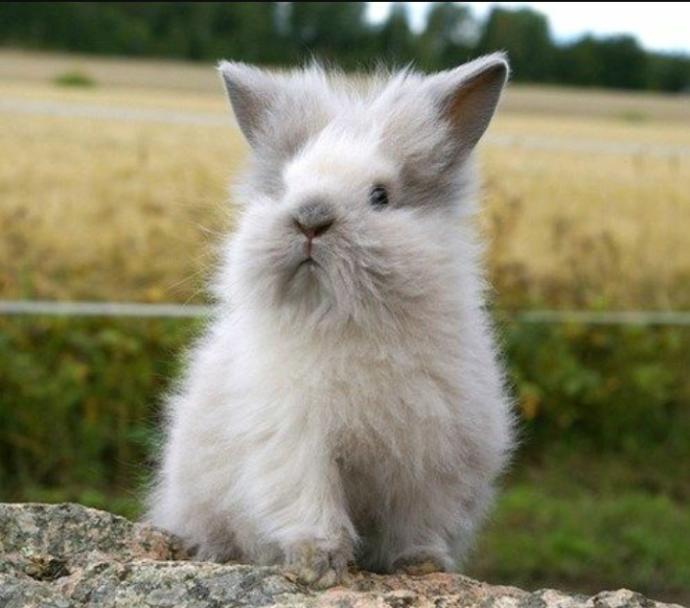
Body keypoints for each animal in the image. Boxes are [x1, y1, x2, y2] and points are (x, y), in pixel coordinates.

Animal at [148, 53, 515, 589]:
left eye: (381, 196)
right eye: (286, 187)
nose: (310, 218)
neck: (344, 318)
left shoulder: (434, 460)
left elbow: (420, 523)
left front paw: (422, 564)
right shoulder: (293, 445)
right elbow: (309, 505)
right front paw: (318, 567)